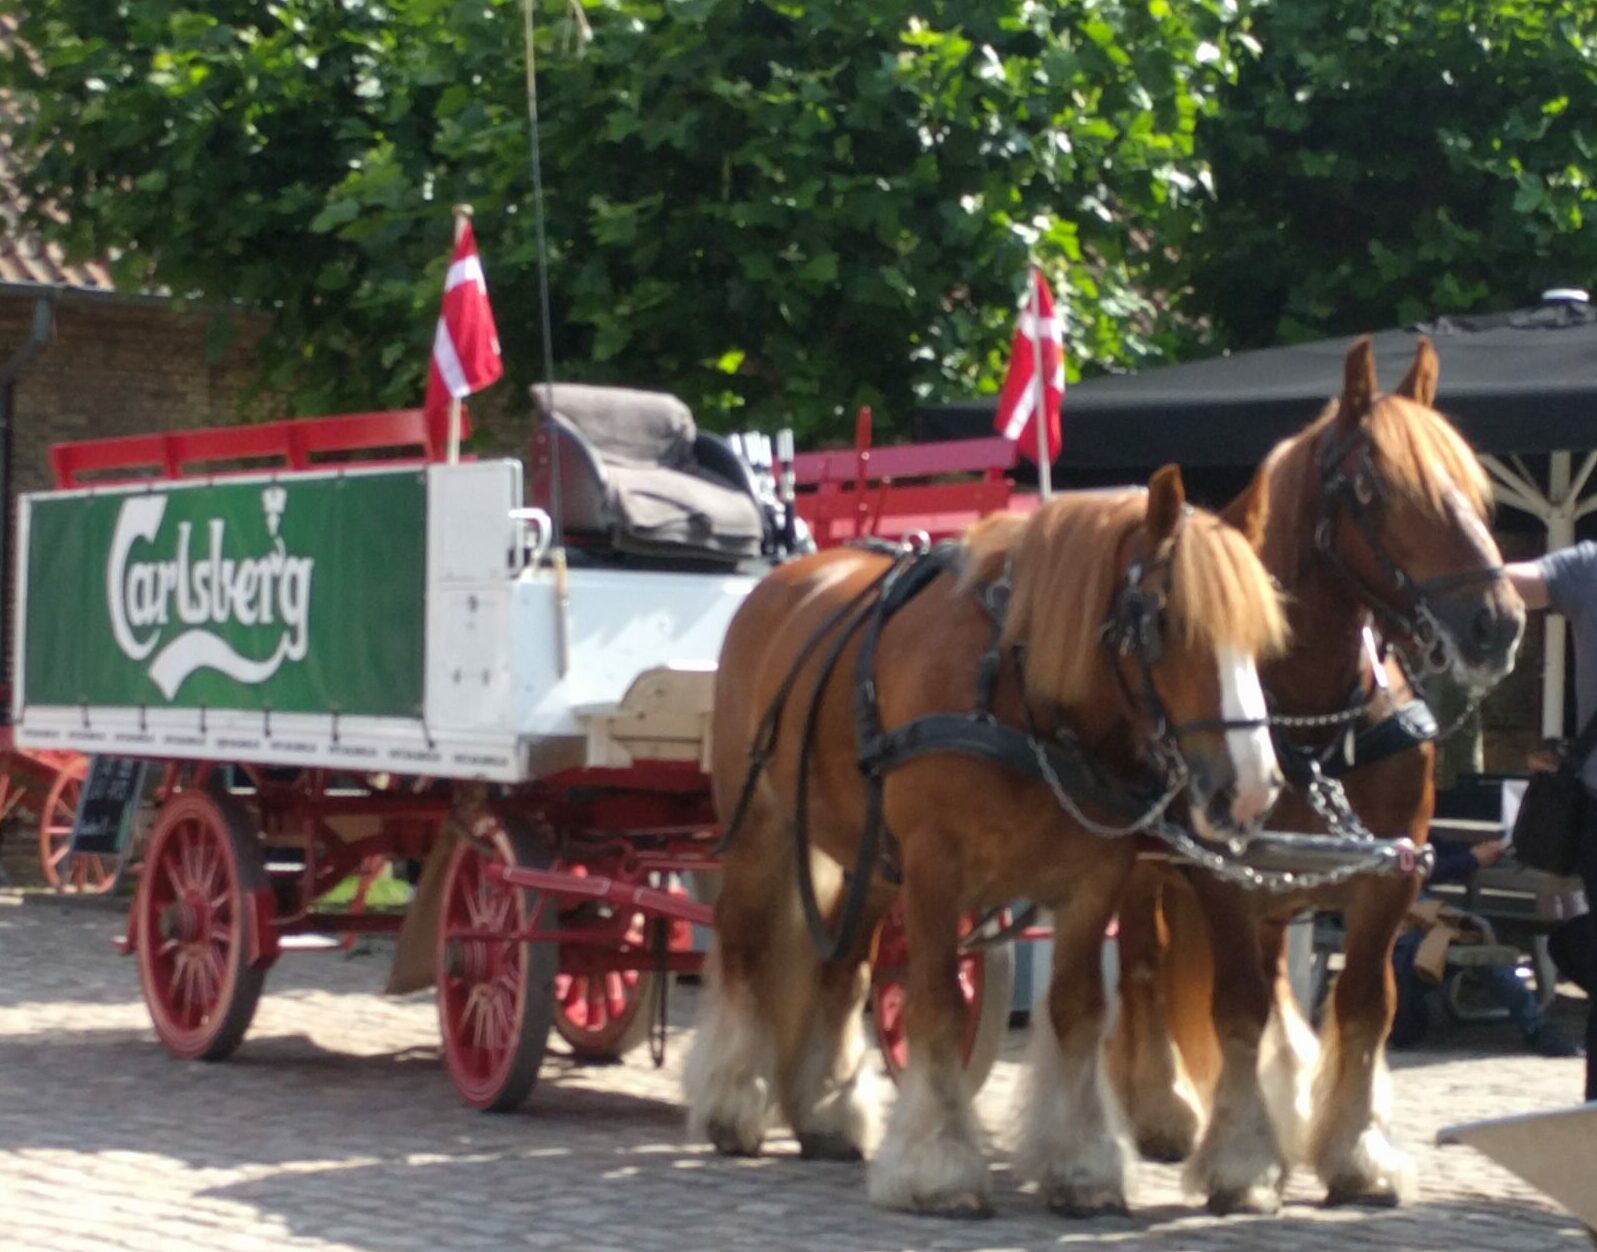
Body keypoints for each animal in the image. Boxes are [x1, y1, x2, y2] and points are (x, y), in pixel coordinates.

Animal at [685, 464, 1289, 1217]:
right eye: (1166, 622)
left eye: (1262, 640)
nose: (1251, 790)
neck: (1018, 697)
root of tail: (779, 581)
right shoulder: (934, 868)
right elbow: (939, 1007)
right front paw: (939, 1168)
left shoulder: (1093, 881)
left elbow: (1078, 1012)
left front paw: (1082, 1166)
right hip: (763, 833)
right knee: (743, 949)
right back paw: (732, 1105)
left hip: (871, 860)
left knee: (843, 969)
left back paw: (827, 1115)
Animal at [1106, 337, 1526, 1213]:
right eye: (1374, 489)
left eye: (1473, 489)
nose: (1496, 624)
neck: (1309, 721)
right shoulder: (1220, 876)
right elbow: (1233, 1007)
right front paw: (1238, 1160)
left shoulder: (1390, 874)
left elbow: (1365, 1005)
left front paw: (1354, 1154)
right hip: (1142, 871)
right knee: (1144, 969)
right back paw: (1165, 1111)